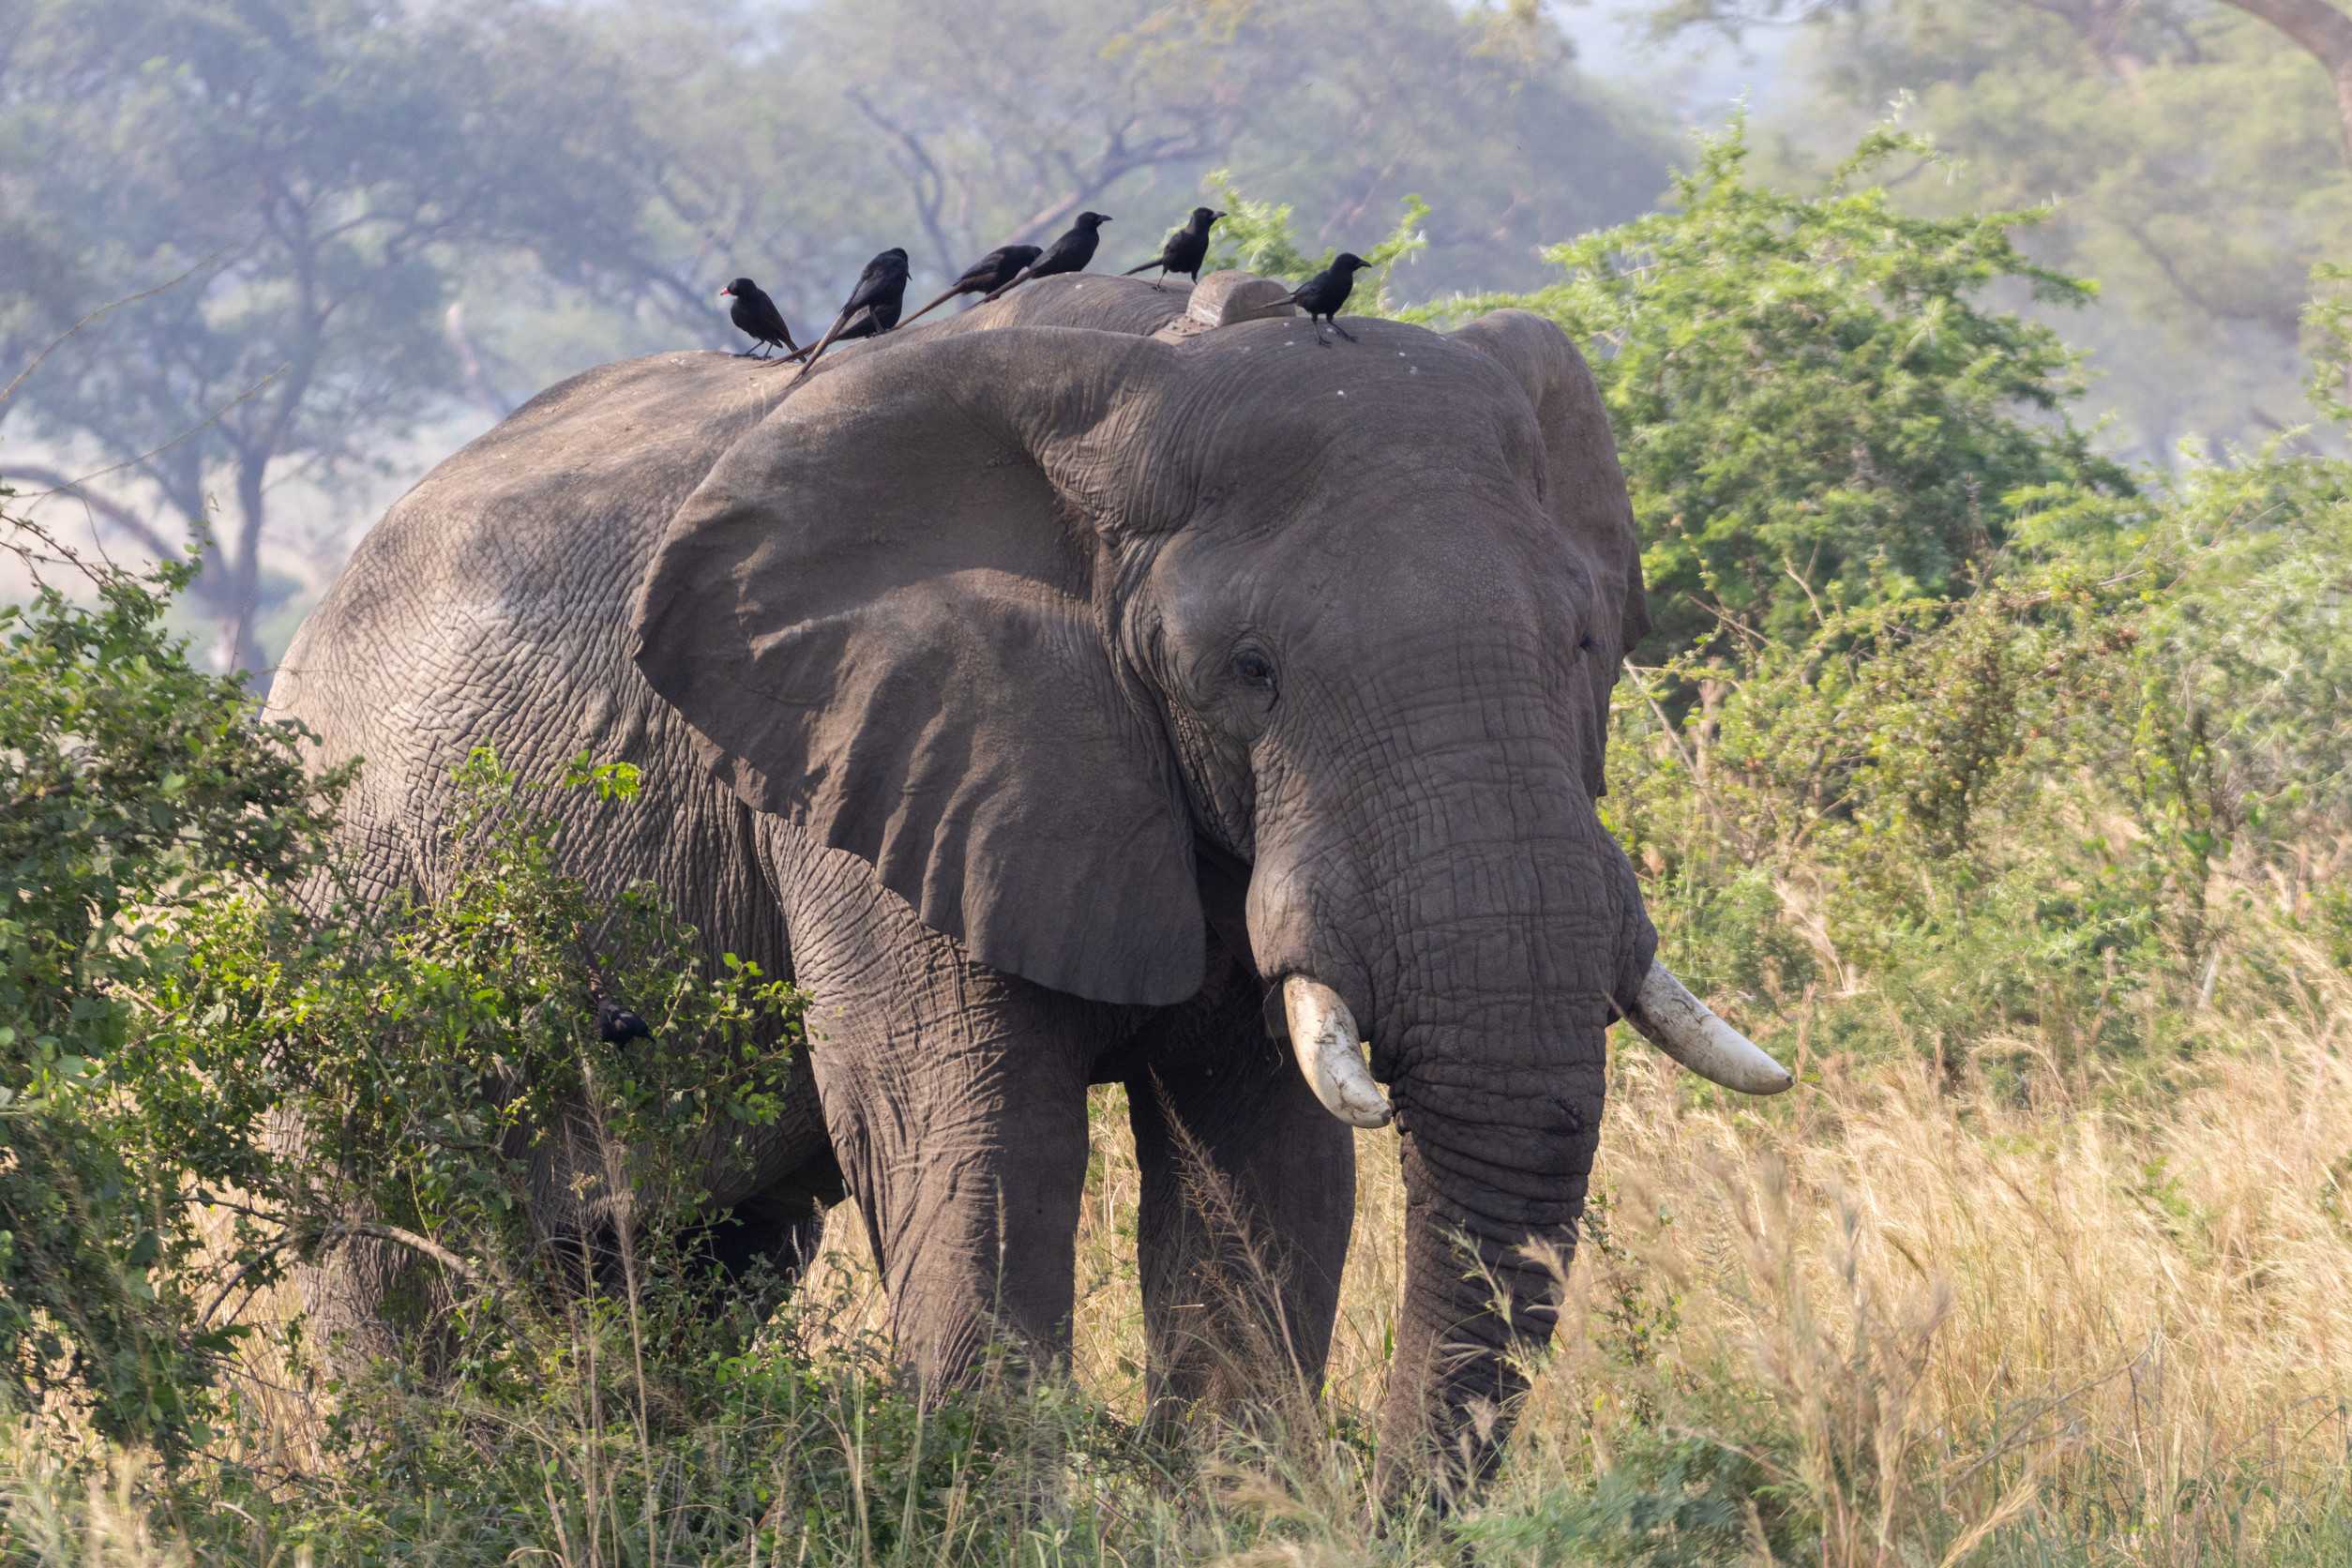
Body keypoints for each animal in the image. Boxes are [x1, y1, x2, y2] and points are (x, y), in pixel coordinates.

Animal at [265, 266, 1790, 1484]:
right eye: (1246, 670)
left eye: (1587, 644)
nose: (1390, 1510)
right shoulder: (867, 759)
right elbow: (975, 1132)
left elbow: (1262, 1154)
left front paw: (1242, 1508)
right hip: (347, 929)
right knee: (391, 1262)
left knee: (698, 1261)